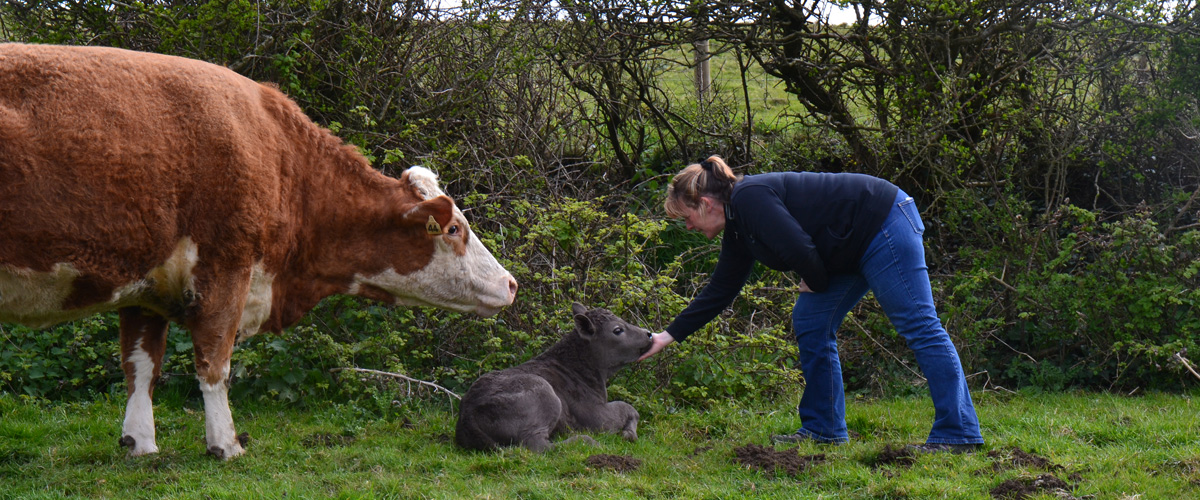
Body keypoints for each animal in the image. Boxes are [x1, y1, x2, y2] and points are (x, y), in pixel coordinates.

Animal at [0, 44, 516, 458]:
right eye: (454, 229)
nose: (511, 284)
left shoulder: (146, 286)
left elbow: (140, 365)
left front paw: (140, 443)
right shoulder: (227, 266)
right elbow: (214, 362)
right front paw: (225, 444)